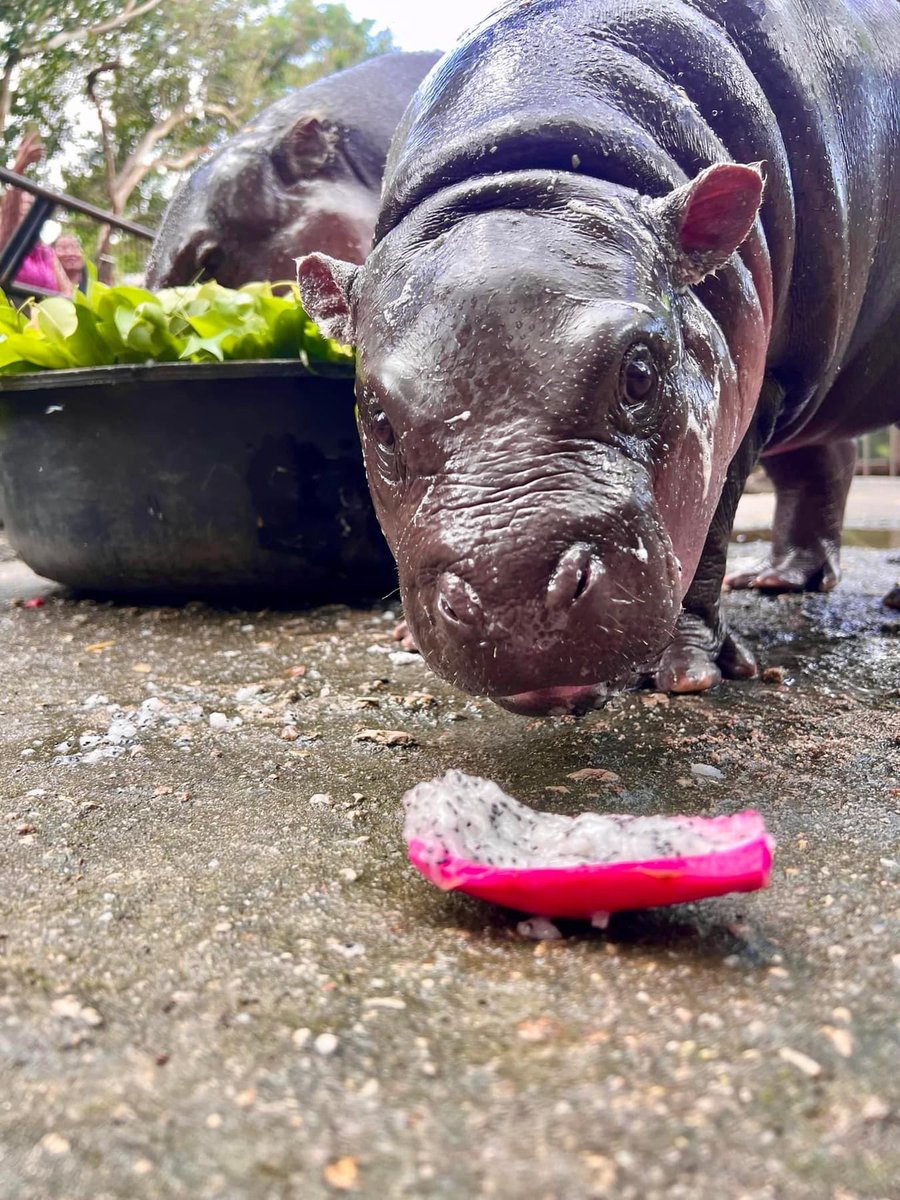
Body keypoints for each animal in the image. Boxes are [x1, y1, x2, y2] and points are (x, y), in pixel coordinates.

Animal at [298, 0, 900, 716]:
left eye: (640, 373)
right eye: (380, 420)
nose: (514, 601)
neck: (529, 170)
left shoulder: (761, 392)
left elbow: (710, 534)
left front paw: (684, 672)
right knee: (822, 465)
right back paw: (778, 582)